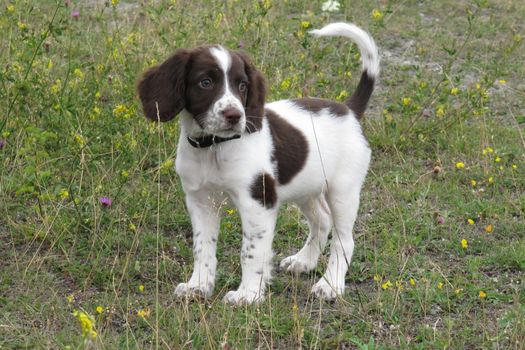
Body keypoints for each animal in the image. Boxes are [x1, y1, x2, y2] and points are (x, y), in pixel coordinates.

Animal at [137, 23, 378, 304]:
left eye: (242, 86)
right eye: (205, 83)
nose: (234, 115)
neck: (214, 147)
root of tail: (349, 110)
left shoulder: (258, 202)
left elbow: (251, 252)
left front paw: (248, 295)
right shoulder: (200, 201)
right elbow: (202, 247)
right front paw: (199, 286)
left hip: (343, 191)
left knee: (344, 240)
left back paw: (329, 285)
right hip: (306, 187)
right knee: (322, 220)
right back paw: (303, 261)